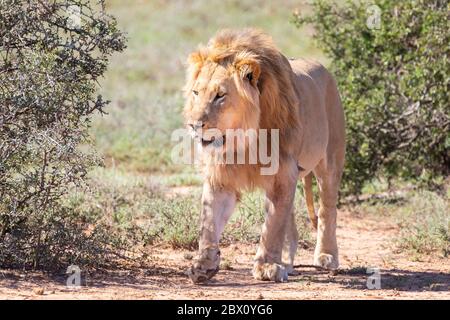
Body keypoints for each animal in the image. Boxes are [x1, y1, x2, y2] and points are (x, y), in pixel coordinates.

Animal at [182, 28, 344, 282]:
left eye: (220, 96)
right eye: (196, 92)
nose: (193, 124)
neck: (243, 140)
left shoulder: (281, 175)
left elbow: (273, 226)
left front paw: (267, 266)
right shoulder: (221, 179)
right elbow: (209, 223)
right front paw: (203, 264)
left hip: (330, 162)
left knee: (326, 209)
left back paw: (326, 255)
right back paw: (286, 261)